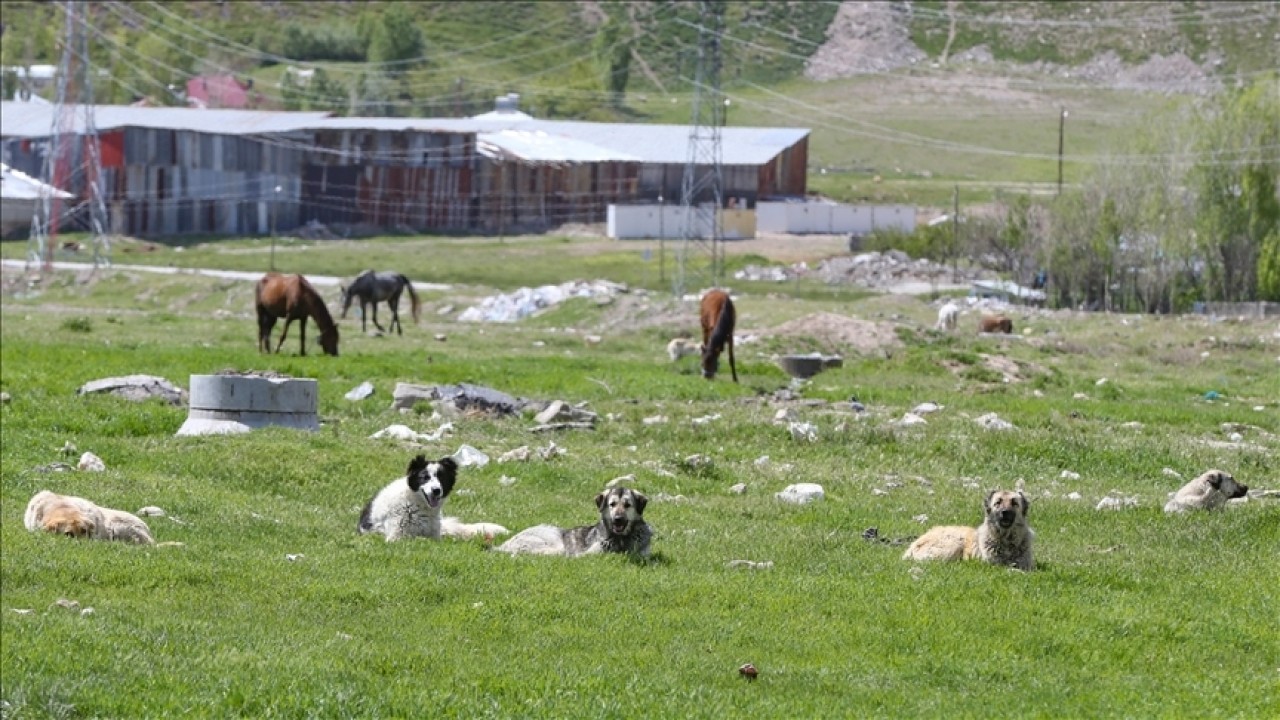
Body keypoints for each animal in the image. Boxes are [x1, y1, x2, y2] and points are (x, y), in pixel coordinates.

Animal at [488, 484, 650, 558]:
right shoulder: (589, 553)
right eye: (612, 504)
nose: (618, 519)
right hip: (555, 545)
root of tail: (504, 545)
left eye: (627, 505)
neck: (621, 539)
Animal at [906, 489, 1034, 568]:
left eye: (1014, 503)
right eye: (998, 503)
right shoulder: (993, 564)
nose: (1005, 512)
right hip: (953, 543)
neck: (1006, 538)